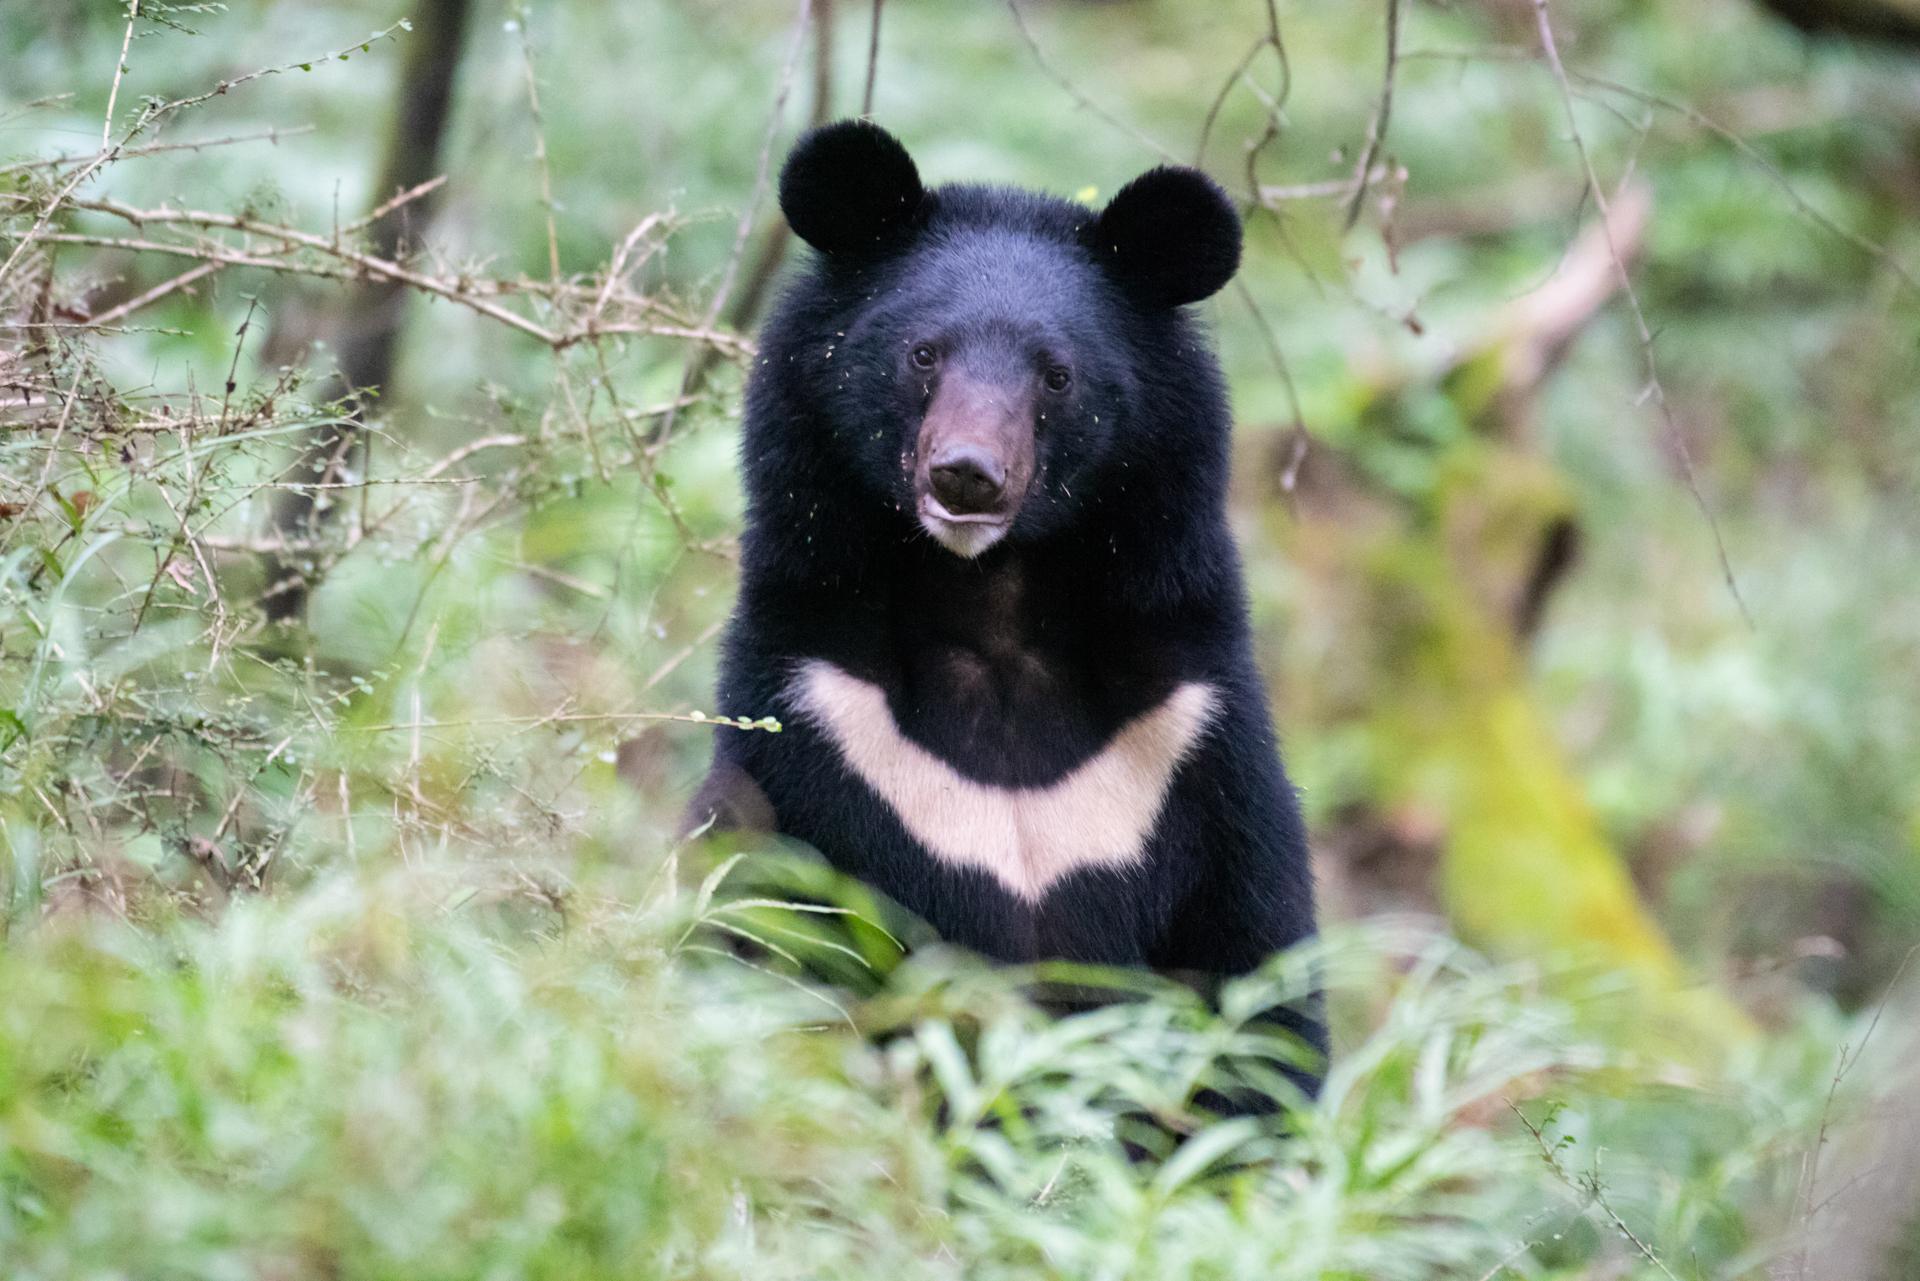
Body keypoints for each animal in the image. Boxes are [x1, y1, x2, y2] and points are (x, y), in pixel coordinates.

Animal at [689, 120, 1323, 1095]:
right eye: (923, 353)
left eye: (1057, 376)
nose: (966, 475)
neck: (989, 598)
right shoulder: (813, 725)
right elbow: (762, 926)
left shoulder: (1200, 746)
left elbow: (1259, 995)